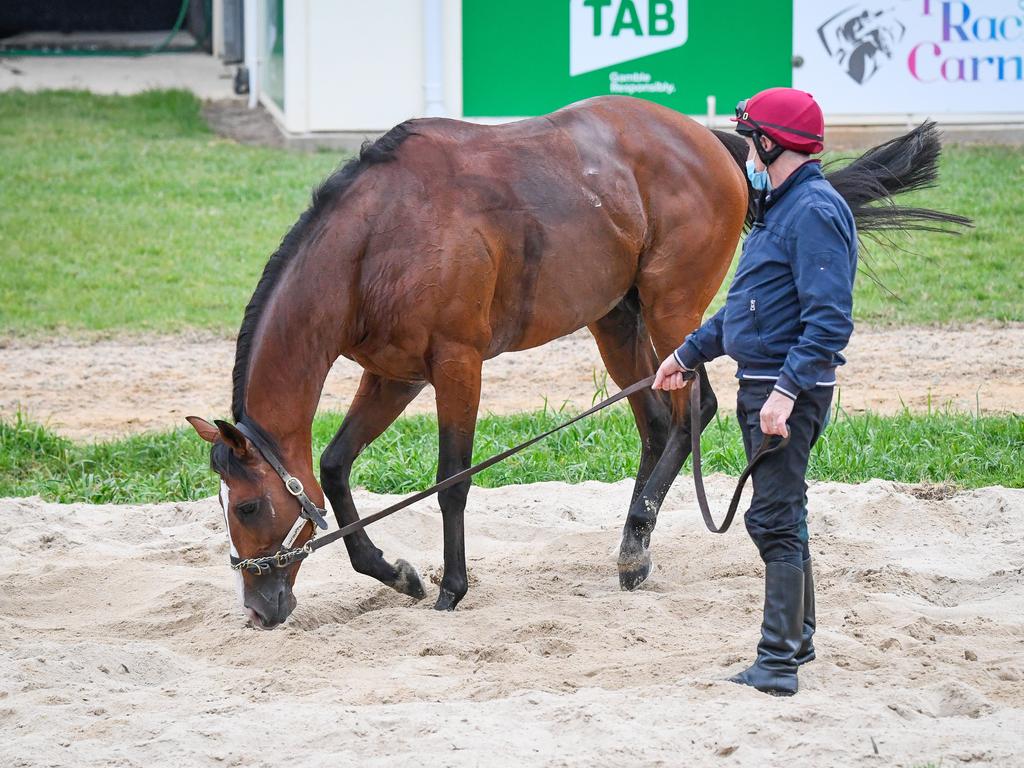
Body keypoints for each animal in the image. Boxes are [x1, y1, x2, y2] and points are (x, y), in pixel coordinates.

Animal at [188, 96, 962, 626]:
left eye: (249, 504)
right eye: (224, 504)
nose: (257, 607)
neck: (377, 238)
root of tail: (709, 140)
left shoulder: (457, 364)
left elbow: (452, 480)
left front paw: (451, 587)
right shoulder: (394, 372)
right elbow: (332, 469)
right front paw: (395, 572)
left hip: (673, 308)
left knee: (695, 409)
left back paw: (637, 543)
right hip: (615, 319)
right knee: (658, 424)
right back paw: (634, 543)